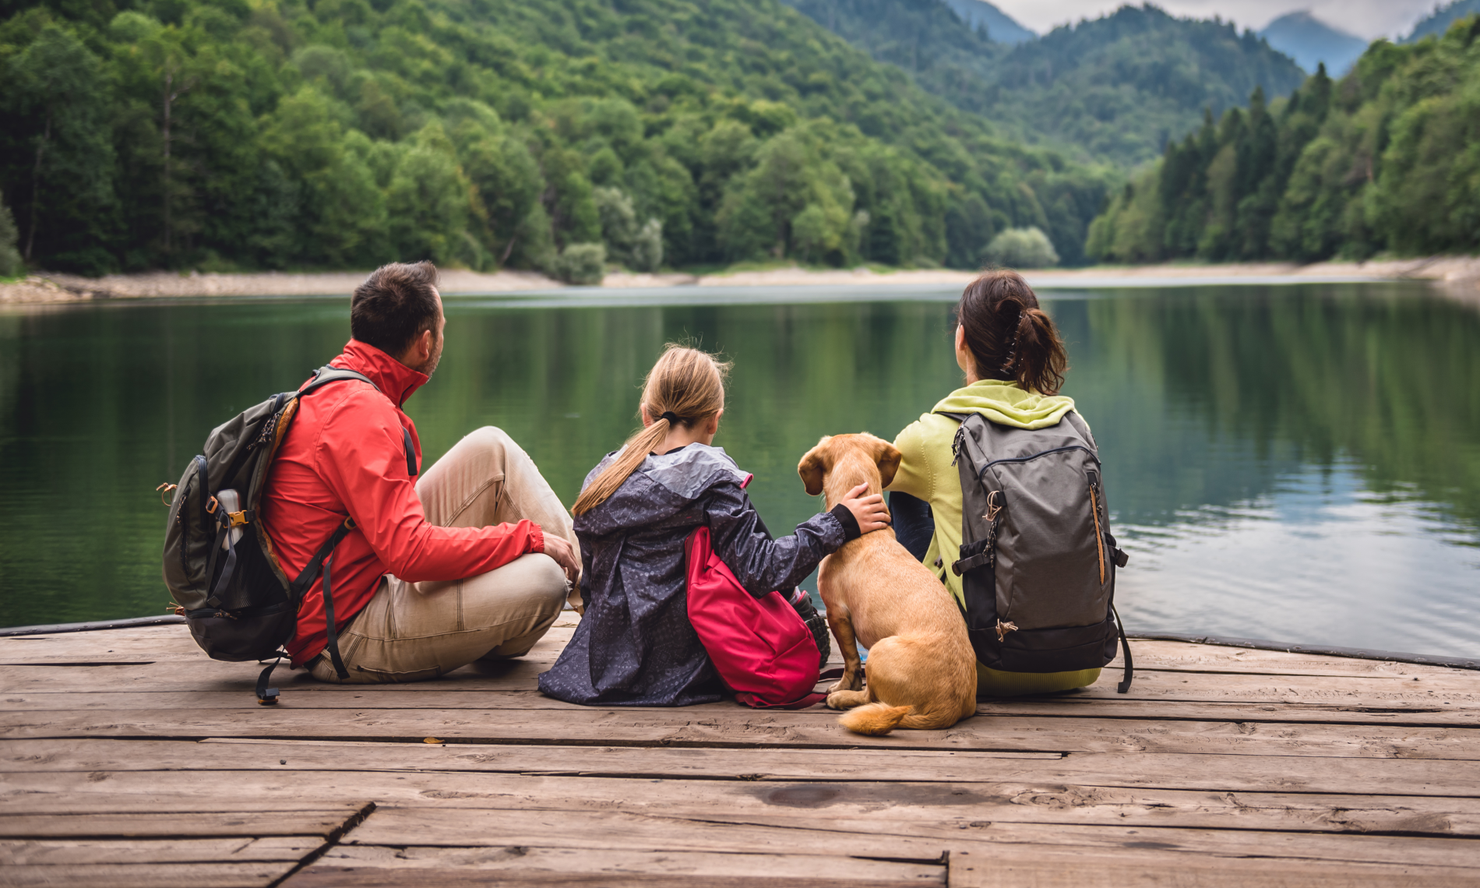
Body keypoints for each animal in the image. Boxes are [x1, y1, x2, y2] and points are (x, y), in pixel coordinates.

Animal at [799, 432, 982, 734]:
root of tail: (948, 708)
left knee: (870, 697)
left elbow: (850, 661)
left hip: (878, 651)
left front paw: (841, 686)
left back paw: (841, 698)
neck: (864, 533)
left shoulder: (837, 614)